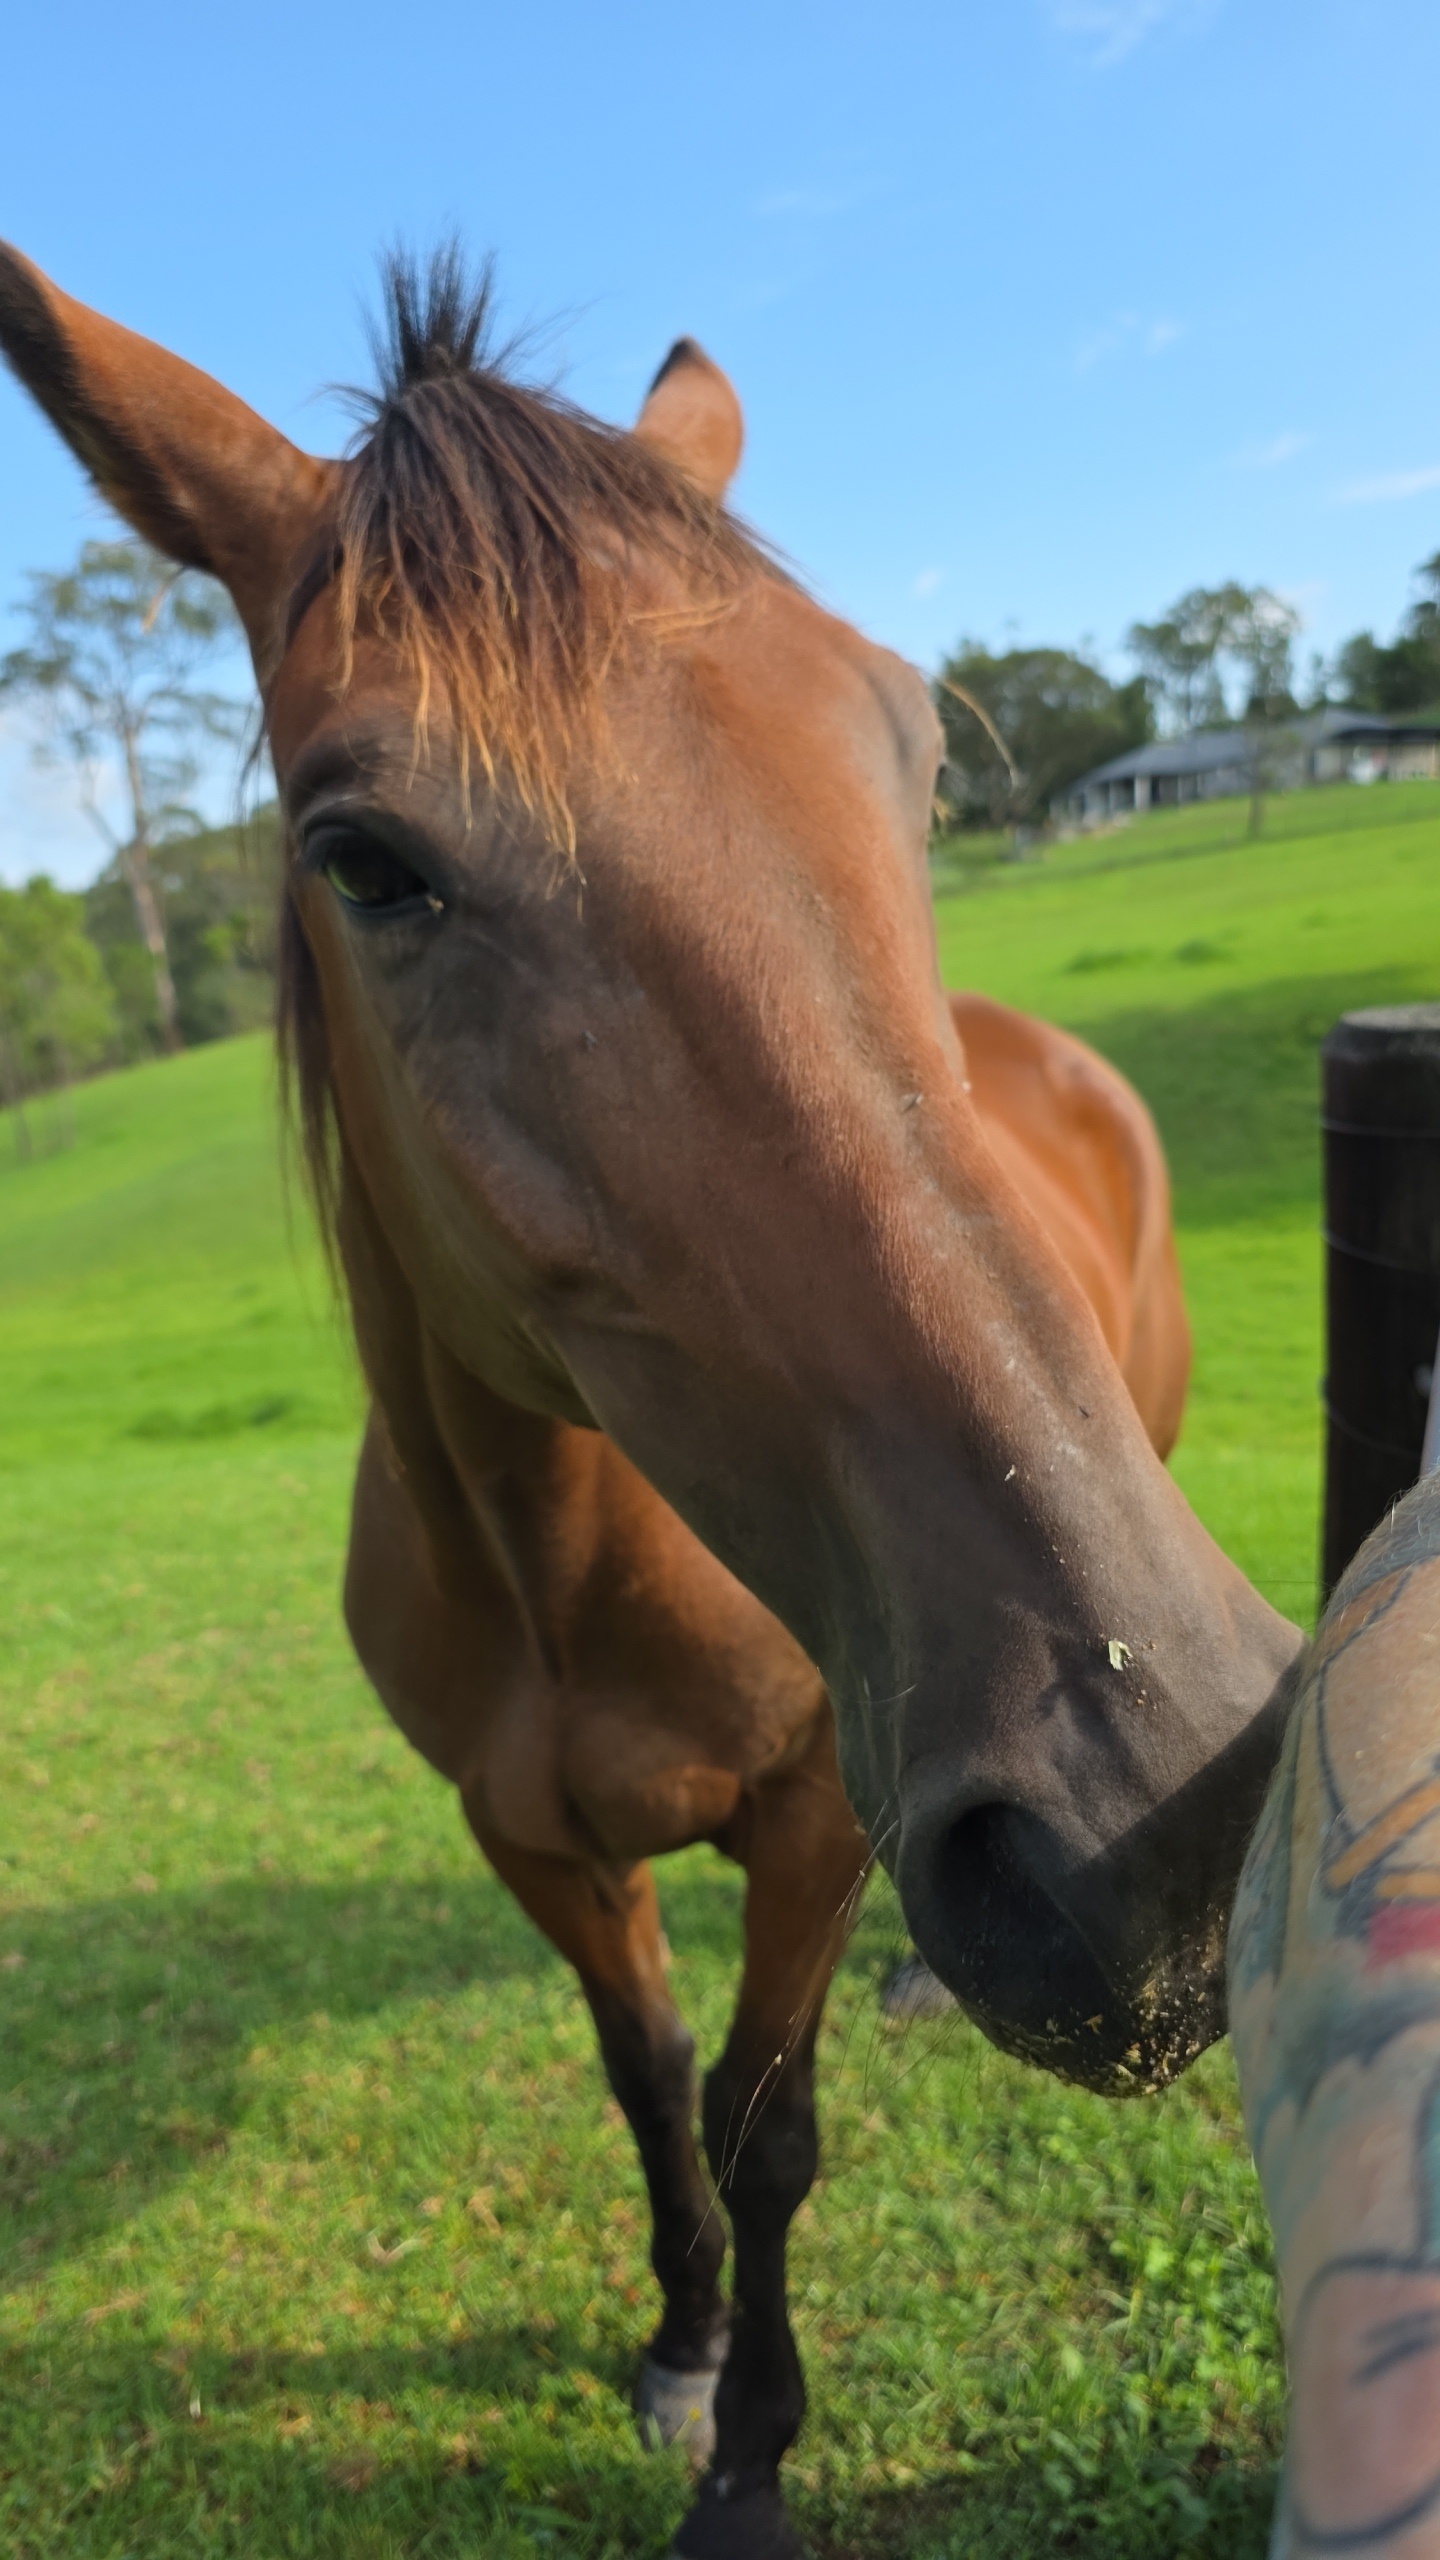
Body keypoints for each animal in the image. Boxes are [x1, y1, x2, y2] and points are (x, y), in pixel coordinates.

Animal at [0, 243, 1302, 2559]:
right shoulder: (528, 1835)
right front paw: (687, 2342)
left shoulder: (818, 1822)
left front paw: (753, 2460)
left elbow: (771, 2115)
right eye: (366, 858)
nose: (1167, 1819)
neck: (569, 1570)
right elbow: (648, 2080)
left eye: (912, 760)